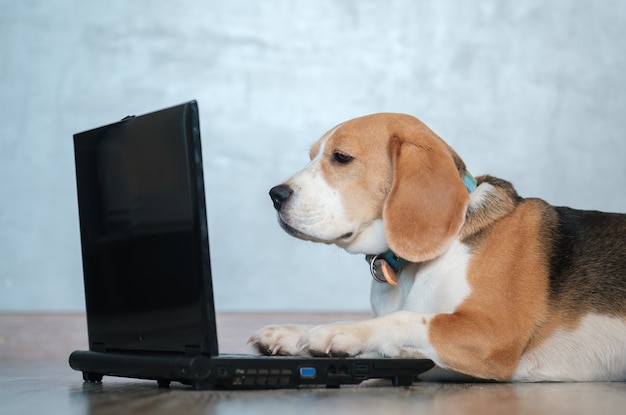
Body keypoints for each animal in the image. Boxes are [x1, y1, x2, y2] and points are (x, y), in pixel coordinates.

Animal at [249, 114, 624, 384]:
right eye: (312, 156)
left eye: (341, 158)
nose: (274, 195)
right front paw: (290, 333)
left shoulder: (491, 337)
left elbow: (404, 319)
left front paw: (339, 331)